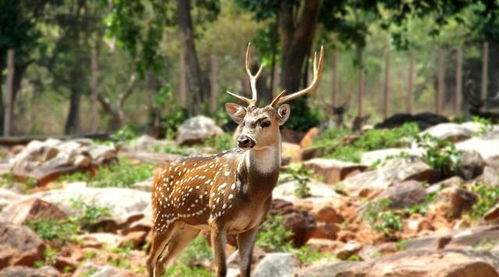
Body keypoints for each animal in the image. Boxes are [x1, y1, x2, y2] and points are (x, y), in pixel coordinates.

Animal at [146, 44, 324, 274]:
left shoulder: (252, 226)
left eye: (265, 122)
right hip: (162, 215)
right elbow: (221, 269)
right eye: (244, 121)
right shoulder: (217, 220)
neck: (253, 195)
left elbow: (245, 269)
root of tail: (157, 173)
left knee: (162, 261)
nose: (243, 140)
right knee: (150, 259)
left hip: (187, 226)